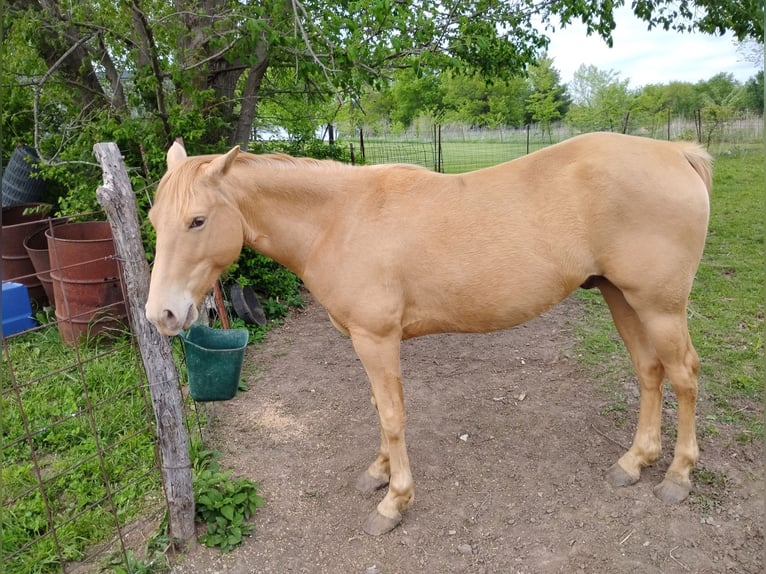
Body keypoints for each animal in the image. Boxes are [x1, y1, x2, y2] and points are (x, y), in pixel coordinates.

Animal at [145, 132, 712, 536]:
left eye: (197, 220)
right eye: (154, 218)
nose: (161, 314)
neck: (339, 220)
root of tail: (676, 154)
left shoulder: (376, 339)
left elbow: (393, 416)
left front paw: (393, 501)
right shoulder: (366, 342)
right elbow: (379, 408)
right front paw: (377, 473)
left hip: (659, 307)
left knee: (684, 376)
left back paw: (678, 477)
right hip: (622, 298)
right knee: (650, 371)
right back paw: (635, 461)